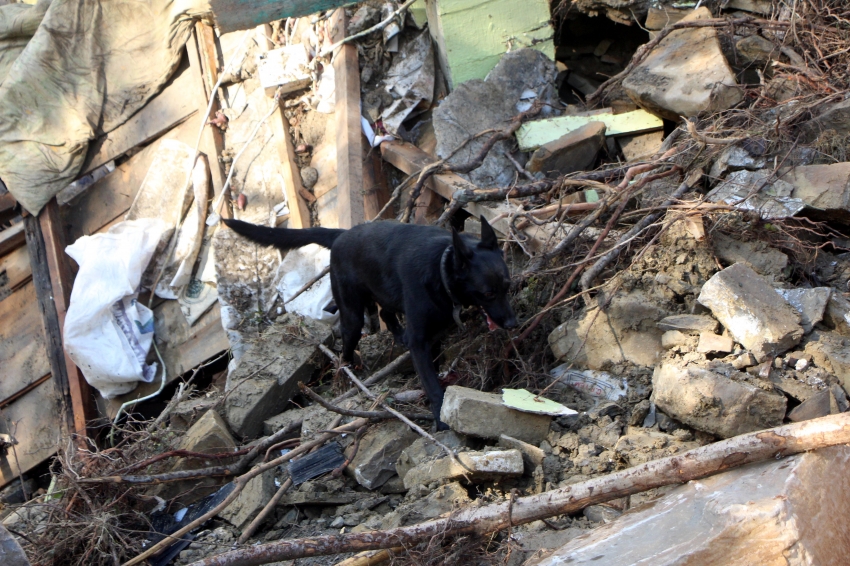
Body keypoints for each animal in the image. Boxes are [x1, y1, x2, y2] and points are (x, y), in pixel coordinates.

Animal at [222, 219, 516, 430]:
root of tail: (342, 234)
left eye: (507, 286)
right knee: (345, 351)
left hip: (384, 292)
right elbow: (432, 384)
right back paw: (348, 376)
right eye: (488, 293)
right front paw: (441, 418)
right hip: (352, 316)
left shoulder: (432, 334)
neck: (442, 266)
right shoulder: (419, 341)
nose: (513, 323)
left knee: (385, 314)